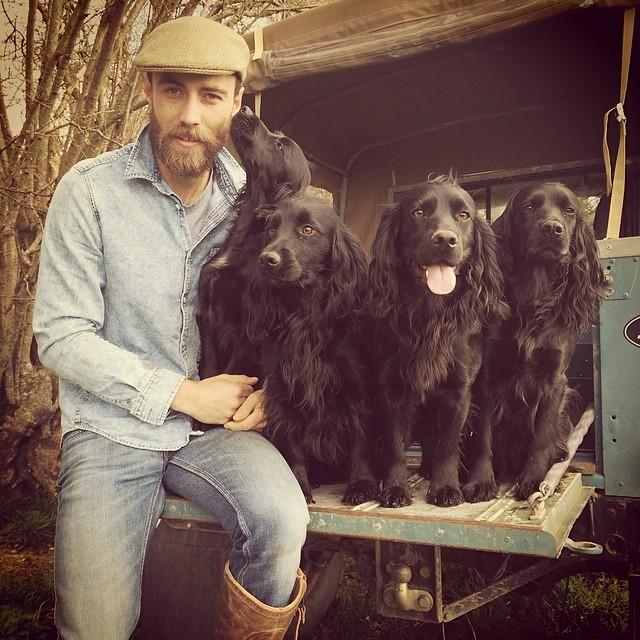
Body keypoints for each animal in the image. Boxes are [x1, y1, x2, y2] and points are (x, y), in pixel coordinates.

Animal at [244, 195, 376, 504]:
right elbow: (292, 445)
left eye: (307, 230)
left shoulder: (358, 387)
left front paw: (361, 485)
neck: (305, 315)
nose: (267, 259)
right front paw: (300, 486)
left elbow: (361, 440)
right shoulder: (282, 390)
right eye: (271, 230)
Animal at [368, 175, 508, 504]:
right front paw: (395, 487)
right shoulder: (390, 389)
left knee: (482, 440)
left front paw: (446, 487)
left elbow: (448, 445)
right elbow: (394, 446)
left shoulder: (458, 391)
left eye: (464, 215)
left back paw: (480, 482)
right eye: (418, 213)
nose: (445, 240)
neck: (429, 313)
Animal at [470, 180, 604, 500]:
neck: (533, 293)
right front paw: (480, 481)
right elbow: (483, 438)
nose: (553, 229)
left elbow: (542, 436)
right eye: (529, 207)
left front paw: (533, 479)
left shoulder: (554, 380)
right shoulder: (488, 376)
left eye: (569, 210)